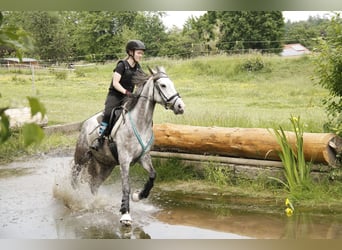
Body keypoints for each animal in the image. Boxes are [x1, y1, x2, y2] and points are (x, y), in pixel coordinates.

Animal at [71, 66, 186, 227]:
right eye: (163, 85)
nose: (181, 106)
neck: (140, 123)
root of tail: (86, 122)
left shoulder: (143, 157)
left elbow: (153, 175)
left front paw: (138, 196)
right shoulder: (125, 160)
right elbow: (126, 186)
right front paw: (125, 214)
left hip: (106, 165)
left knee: (94, 184)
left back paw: (96, 202)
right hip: (81, 157)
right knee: (75, 176)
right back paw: (75, 196)